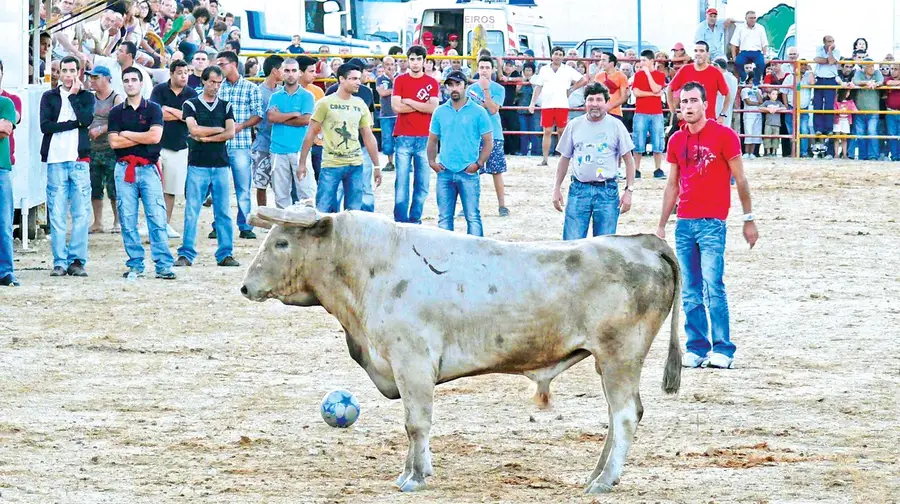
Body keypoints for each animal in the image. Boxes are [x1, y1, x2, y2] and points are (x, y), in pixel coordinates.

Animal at [239, 206, 684, 496]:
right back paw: (595, 474)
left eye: (281, 242)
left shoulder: (412, 363)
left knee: (624, 415)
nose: (245, 287)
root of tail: (643, 244)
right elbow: (412, 426)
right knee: (617, 416)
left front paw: (415, 478)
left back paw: (604, 480)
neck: (370, 267)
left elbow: (416, 423)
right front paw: (410, 471)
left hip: (619, 356)